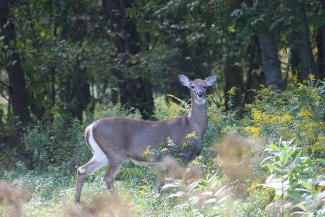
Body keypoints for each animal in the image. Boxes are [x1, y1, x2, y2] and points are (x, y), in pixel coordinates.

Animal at [73, 74, 218, 203]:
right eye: (192, 86)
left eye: (205, 86)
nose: (200, 93)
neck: (191, 125)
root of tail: (89, 128)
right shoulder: (183, 153)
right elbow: (181, 179)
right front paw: (184, 197)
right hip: (115, 152)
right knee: (107, 177)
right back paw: (118, 202)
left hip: (101, 154)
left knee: (82, 170)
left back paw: (77, 202)